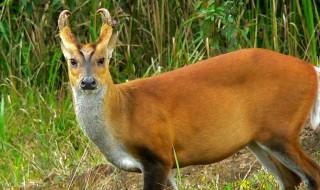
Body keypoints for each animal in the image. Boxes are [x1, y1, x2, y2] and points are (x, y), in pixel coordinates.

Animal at [58, 8, 320, 190]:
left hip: (281, 128)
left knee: (311, 174)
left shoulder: (157, 155)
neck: (122, 112)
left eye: (102, 59)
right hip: (259, 139)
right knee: (291, 179)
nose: (88, 82)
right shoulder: (165, 164)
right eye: (72, 61)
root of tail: (312, 70)